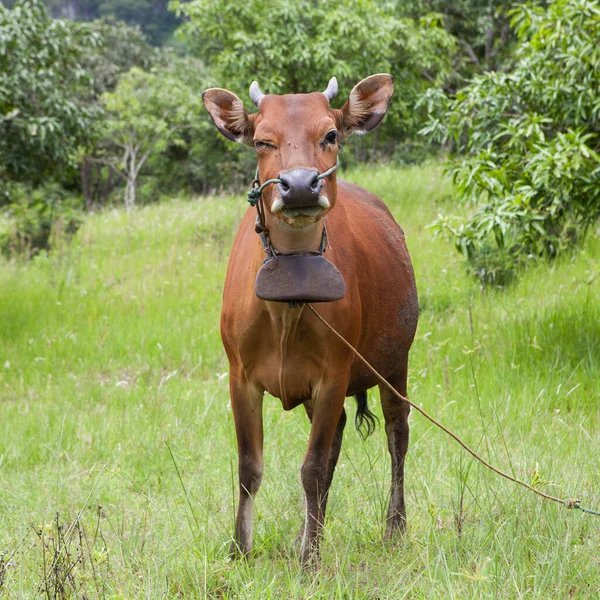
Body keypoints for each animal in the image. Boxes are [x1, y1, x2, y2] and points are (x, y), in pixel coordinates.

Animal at [202, 74, 418, 564]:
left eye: (331, 134)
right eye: (262, 141)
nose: (300, 186)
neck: (288, 304)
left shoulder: (334, 375)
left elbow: (313, 467)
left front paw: (310, 560)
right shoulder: (240, 376)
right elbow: (250, 467)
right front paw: (240, 549)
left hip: (395, 362)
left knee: (397, 432)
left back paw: (394, 526)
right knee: (337, 439)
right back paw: (307, 530)